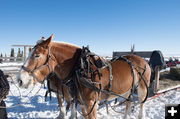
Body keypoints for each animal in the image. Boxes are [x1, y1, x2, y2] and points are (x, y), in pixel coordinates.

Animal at [17, 34, 151, 118]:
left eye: (37, 55)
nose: (20, 80)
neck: (80, 69)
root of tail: (143, 60)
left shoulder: (91, 104)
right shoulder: (81, 103)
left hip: (142, 89)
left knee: (141, 106)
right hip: (128, 90)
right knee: (128, 104)